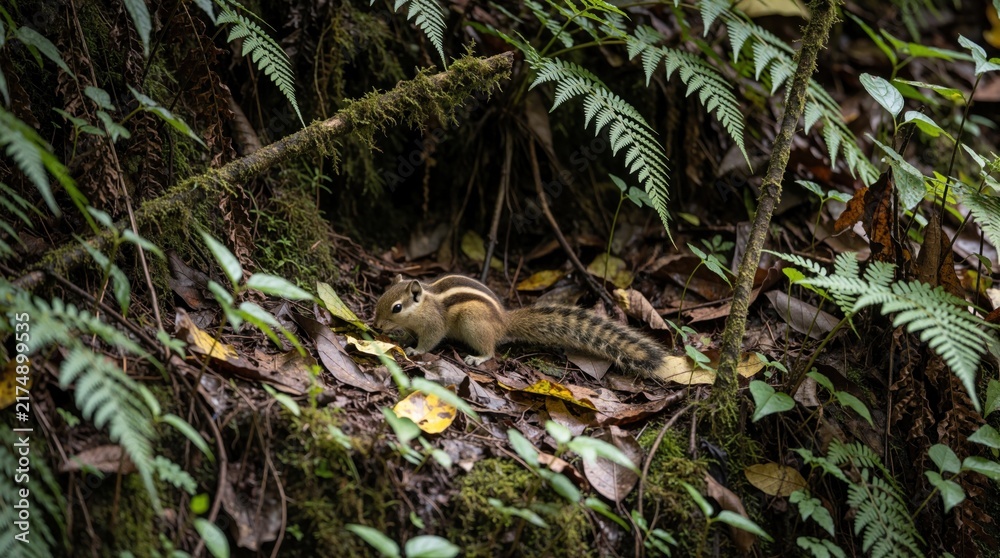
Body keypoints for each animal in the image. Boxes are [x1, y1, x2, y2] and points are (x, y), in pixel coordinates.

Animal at [373, 274, 668, 378]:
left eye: (396, 308)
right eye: (381, 296)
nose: (375, 325)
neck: (423, 304)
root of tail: (503, 322)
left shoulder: (434, 325)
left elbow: (430, 341)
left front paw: (415, 350)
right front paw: (402, 337)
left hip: (473, 325)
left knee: (490, 349)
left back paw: (477, 358)